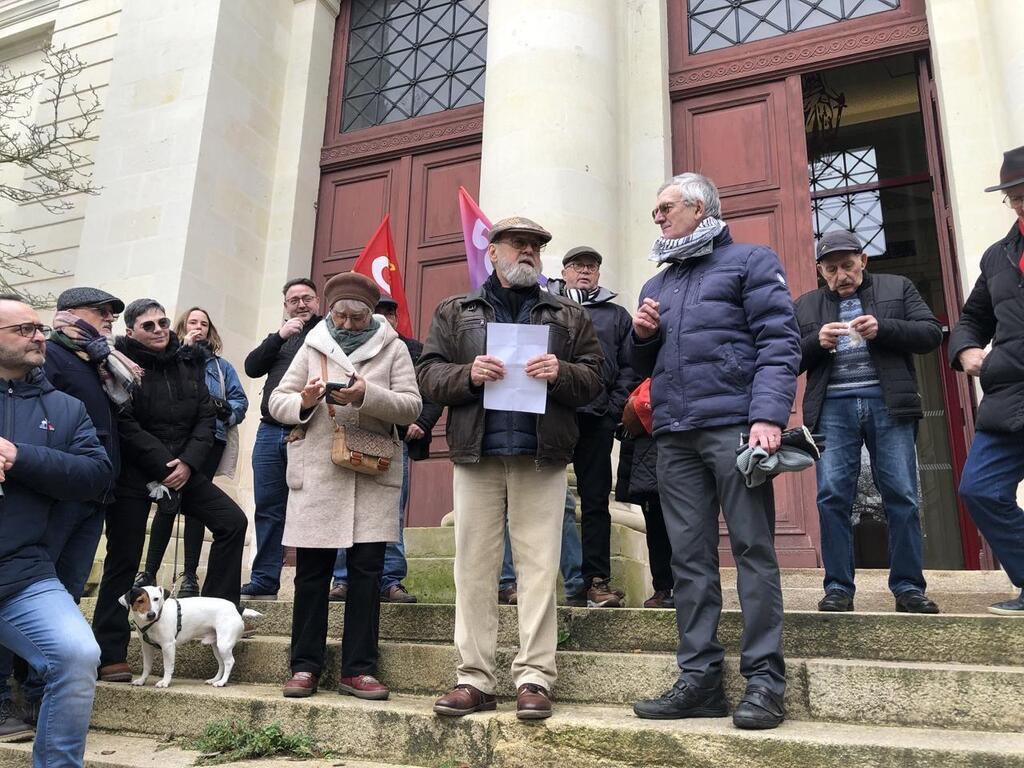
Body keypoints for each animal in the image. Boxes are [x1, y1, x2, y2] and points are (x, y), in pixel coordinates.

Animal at [118, 585, 260, 688]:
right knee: (222, 663)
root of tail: (236, 607)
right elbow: (147, 666)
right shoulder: (146, 647)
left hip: (224, 645)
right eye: (140, 601)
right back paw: (215, 679)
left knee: (229, 662)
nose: (151, 614)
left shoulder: (168, 646)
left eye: (156, 599)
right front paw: (142, 680)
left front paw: (165, 682)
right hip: (217, 646)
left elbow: (168, 666)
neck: (155, 621)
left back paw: (222, 682)